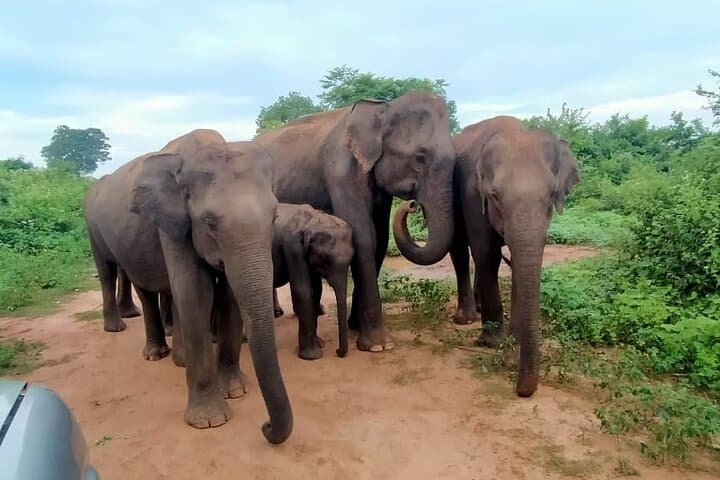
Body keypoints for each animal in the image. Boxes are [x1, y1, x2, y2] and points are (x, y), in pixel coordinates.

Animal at [83, 129, 293, 443]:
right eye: (209, 221)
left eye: (274, 217)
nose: (265, 427)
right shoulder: (172, 225)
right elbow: (196, 293)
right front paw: (209, 420)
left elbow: (227, 296)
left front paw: (235, 390)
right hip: (97, 231)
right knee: (120, 277)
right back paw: (140, 344)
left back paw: (179, 360)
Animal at [271, 204, 354, 360]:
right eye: (324, 258)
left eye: (352, 257)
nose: (337, 351)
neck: (312, 220)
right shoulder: (293, 248)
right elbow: (303, 290)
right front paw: (313, 356)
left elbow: (317, 290)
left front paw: (320, 343)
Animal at [395, 116, 580, 397]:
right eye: (495, 196)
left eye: (552, 195)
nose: (520, 389)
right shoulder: (471, 194)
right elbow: (487, 253)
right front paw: (493, 341)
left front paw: (512, 339)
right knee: (461, 250)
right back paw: (466, 318)